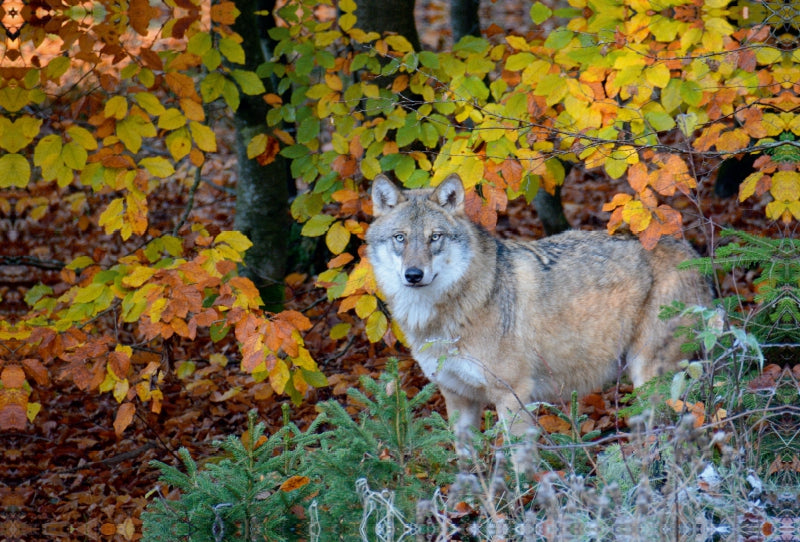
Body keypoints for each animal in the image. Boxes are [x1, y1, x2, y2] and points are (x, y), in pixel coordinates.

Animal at [366, 174, 708, 438]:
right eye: (400, 238)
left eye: (434, 237)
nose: (413, 274)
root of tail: (691, 251)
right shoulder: (458, 399)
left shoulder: (512, 394)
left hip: (648, 377)